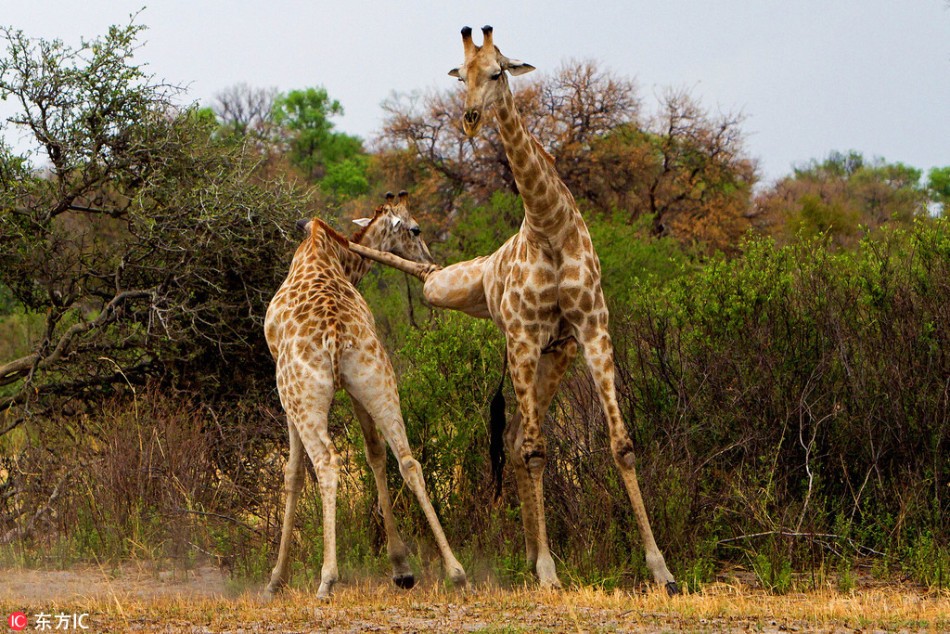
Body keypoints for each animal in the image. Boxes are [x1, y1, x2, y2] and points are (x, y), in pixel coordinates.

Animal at [264, 193, 464, 596]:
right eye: (416, 229)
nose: (430, 261)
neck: (334, 255)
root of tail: (334, 332)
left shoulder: (285, 392)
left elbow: (292, 473)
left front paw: (276, 580)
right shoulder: (355, 390)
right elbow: (375, 454)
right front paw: (401, 567)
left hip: (301, 393)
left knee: (326, 462)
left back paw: (326, 579)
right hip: (378, 379)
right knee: (408, 460)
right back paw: (456, 571)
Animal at [350, 25, 676, 592]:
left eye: (498, 72)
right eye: (462, 75)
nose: (470, 118)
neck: (548, 224)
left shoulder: (592, 330)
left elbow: (621, 444)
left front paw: (661, 569)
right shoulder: (523, 336)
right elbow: (538, 452)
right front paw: (548, 570)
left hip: (554, 355)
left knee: (522, 436)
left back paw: (529, 551)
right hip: (494, 321)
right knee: (521, 436)